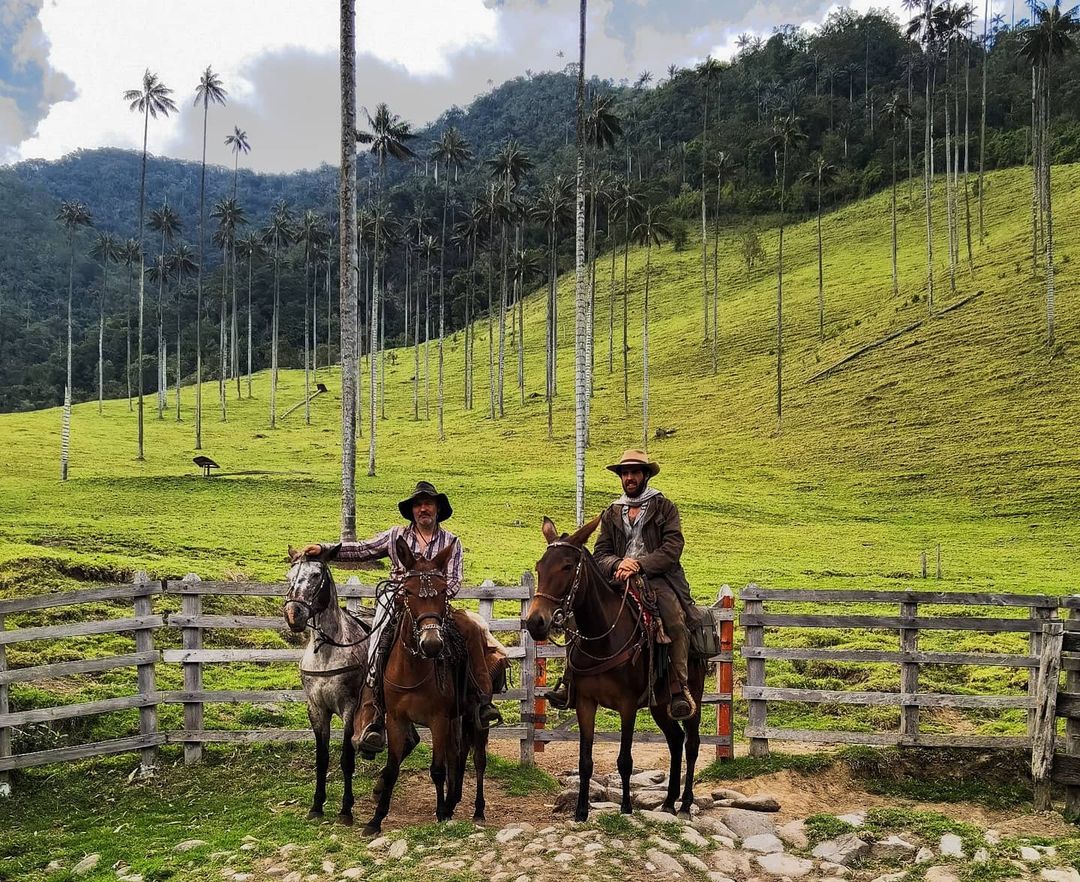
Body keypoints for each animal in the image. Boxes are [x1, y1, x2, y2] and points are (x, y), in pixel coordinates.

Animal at [285, 544, 369, 824]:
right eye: (289, 577)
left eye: (316, 576)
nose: (293, 614)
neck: (327, 651)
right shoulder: (316, 709)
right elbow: (321, 759)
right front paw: (316, 805)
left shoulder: (350, 708)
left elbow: (346, 759)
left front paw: (345, 810)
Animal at [358, 537, 490, 833]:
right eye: (407, 591)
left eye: (442, 591)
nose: (431, 644)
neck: (413, 670)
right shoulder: (396, 720)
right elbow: (392, 768)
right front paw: (376, 819)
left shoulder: (438, 720)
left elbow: (437, 769)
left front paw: (440, 814)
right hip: (455, 720)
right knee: (458, 756)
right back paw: (452, 803)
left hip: (474, 719)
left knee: (477, 759)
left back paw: (476, 810)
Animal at [524, 516, 708, 820]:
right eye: (539, 566)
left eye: (567, 566)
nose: (535, 622)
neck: (603, 639)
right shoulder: (585, 703)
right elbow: (585, 761)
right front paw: (581, 812)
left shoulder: (627, 705)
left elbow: (624, 760)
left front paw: (625, 808)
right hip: (660, 704)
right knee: (675, 739)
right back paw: (669, 801)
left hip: (693, 694)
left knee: (691, 743)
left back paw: (684, 805)